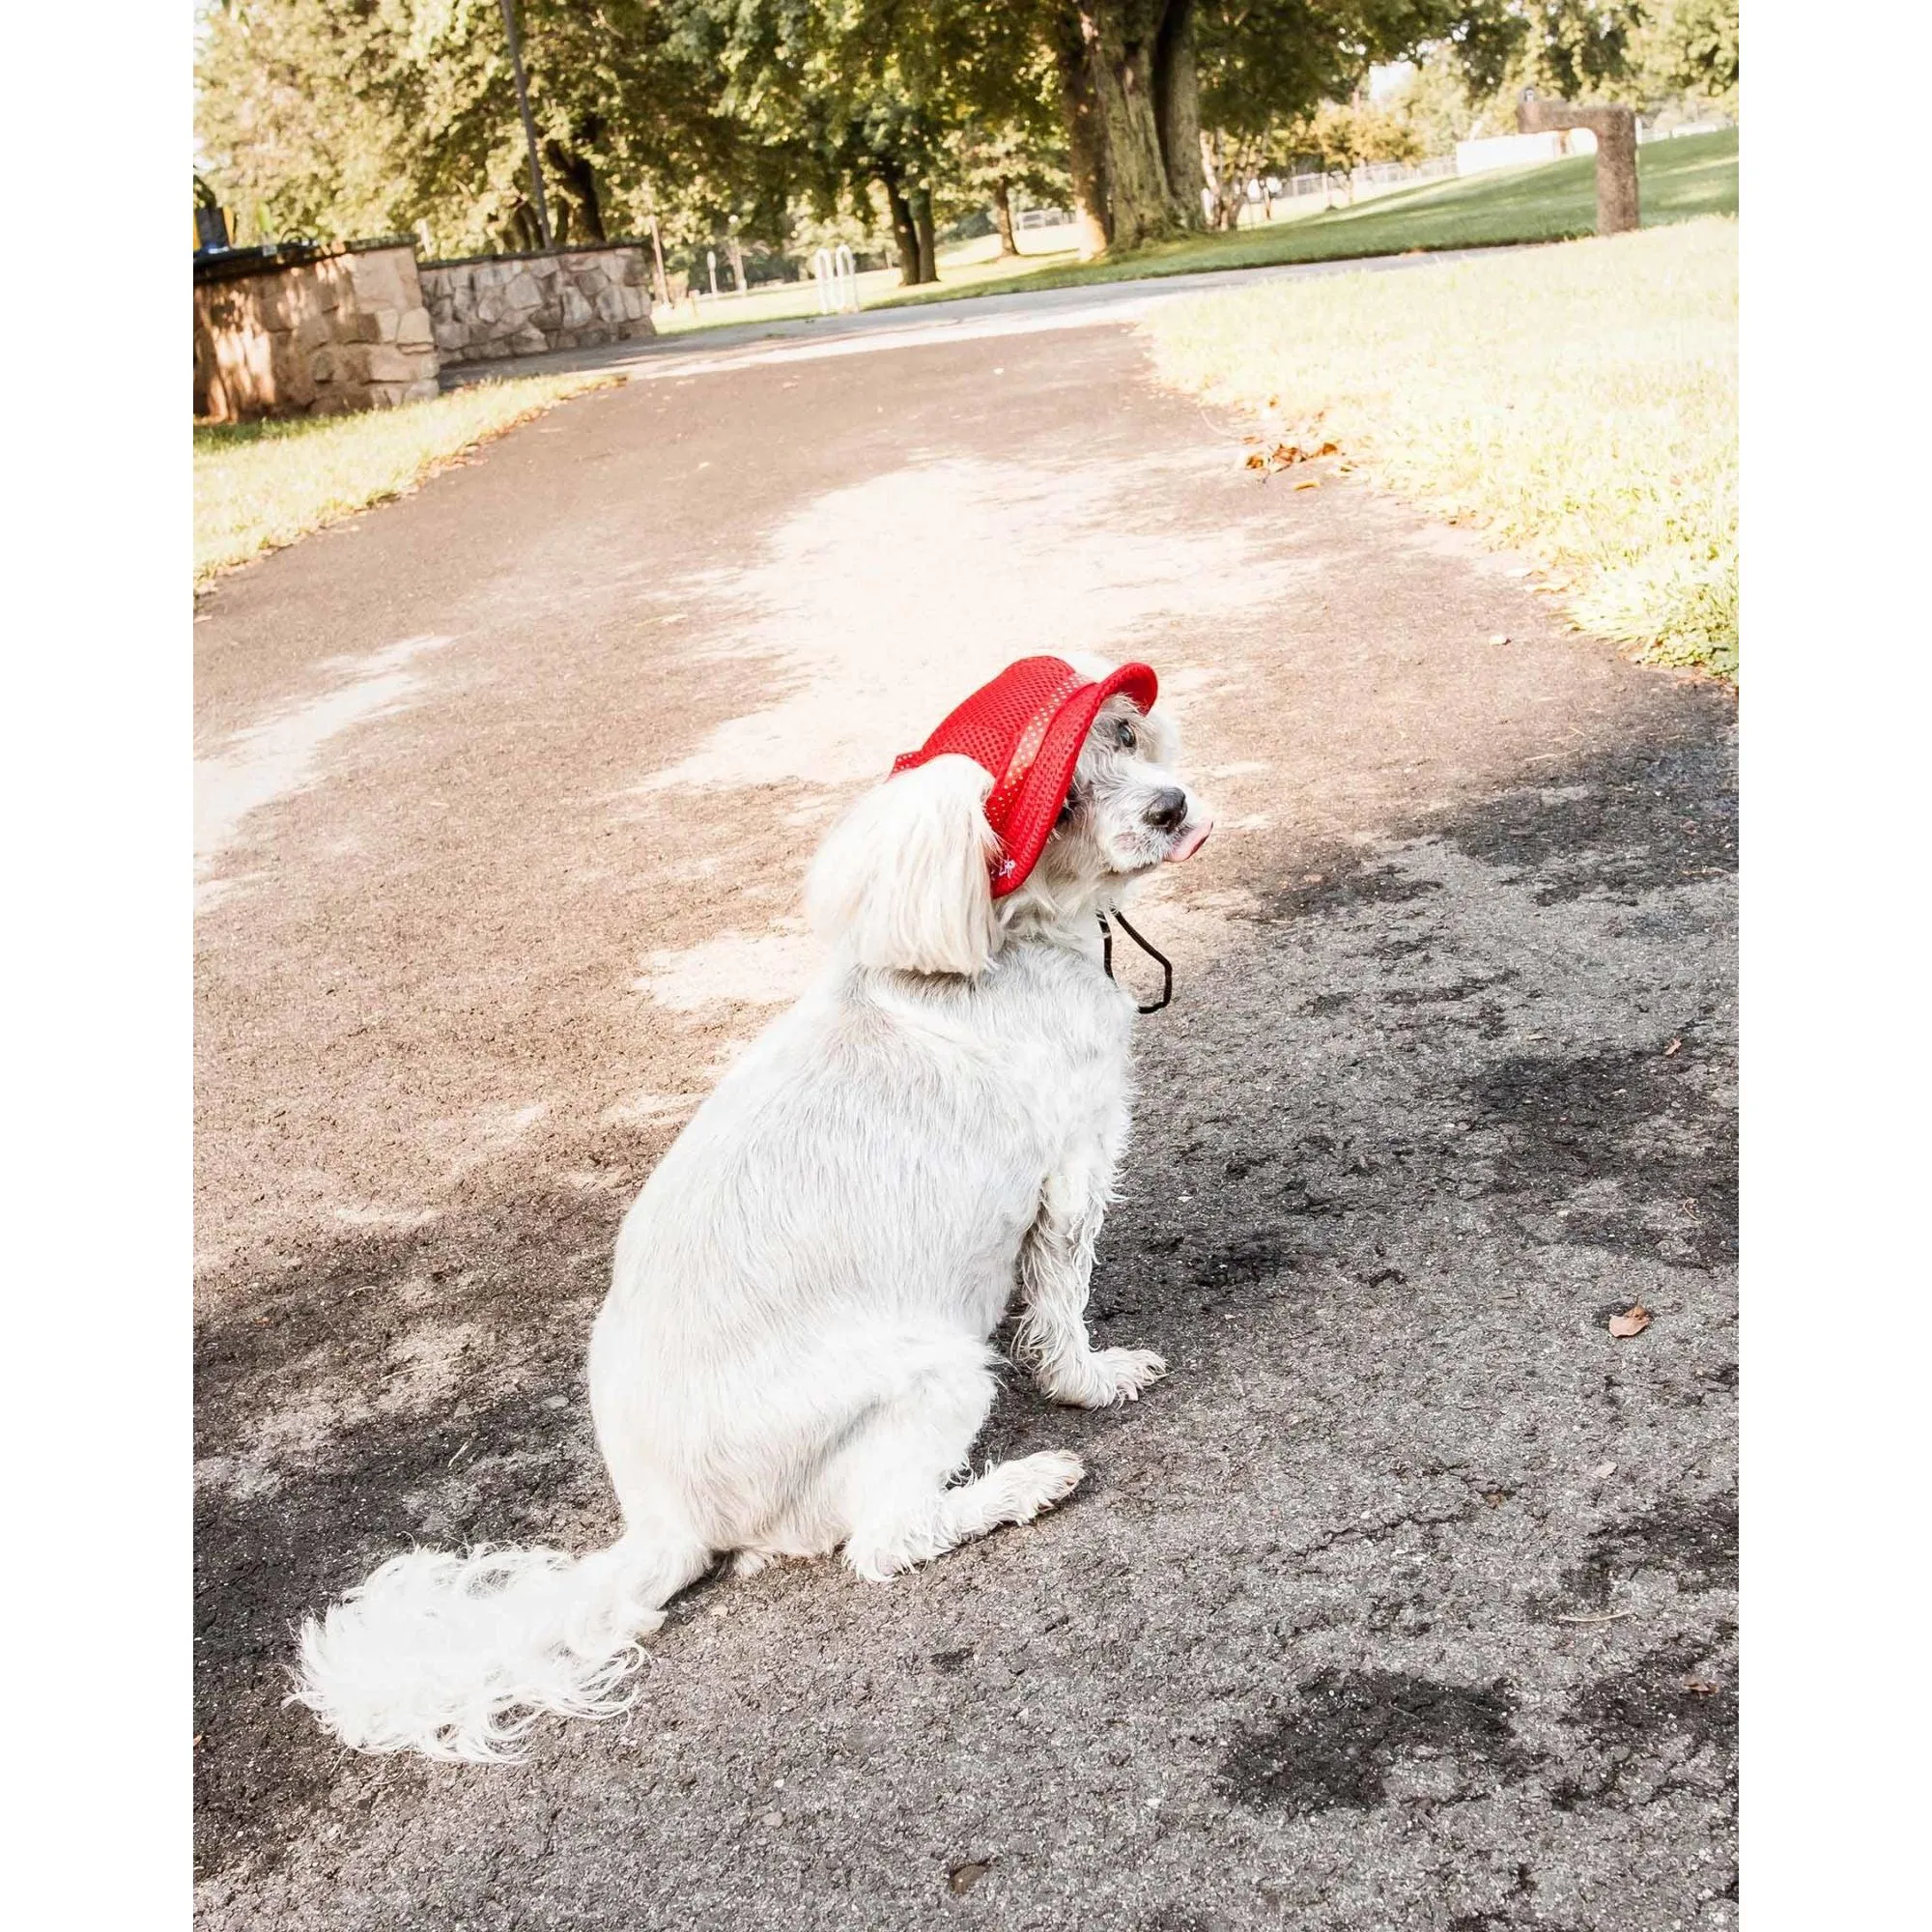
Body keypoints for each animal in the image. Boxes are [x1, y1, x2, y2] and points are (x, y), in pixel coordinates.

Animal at [290, 657, 1206, 1762]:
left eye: (1124, 733)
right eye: (1060, 802)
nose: (1170, 806)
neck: (1012, 940)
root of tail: (665, 1516)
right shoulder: (1071, 1171)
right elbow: (1063, 1306)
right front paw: (1093, 1381)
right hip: (933, 1371)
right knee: (882, 1540)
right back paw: (1021, 1484)